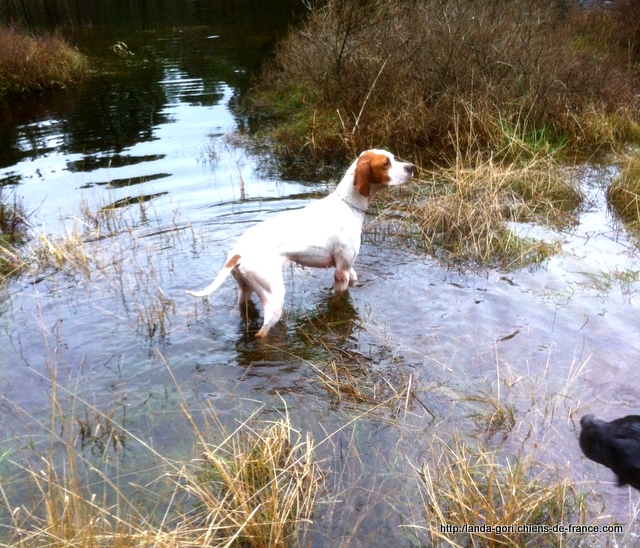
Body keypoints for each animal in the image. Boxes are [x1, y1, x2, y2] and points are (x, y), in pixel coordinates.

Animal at [188, 151, 412, 338]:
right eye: (386, 162)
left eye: (393, 157)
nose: (411, 167)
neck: (348, 205)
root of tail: (238, 252)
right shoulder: (341, 271)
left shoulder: (348, 268)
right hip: (274, 299)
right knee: (262, 333)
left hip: (245, 291)